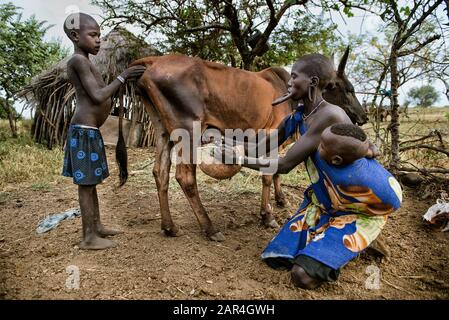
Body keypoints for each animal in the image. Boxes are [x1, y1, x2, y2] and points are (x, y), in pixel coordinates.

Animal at [130, 48, 368, 241]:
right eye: (345, 89)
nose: (363, 116)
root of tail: (154, 61)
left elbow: (276, 172)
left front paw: (280, 200)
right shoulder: (270, 132)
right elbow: (268, 175)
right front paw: (267, 216)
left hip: (163, 130)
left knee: (160, 172)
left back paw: (169, 227)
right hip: (188, 130)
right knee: (185, 177)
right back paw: (209, 228)